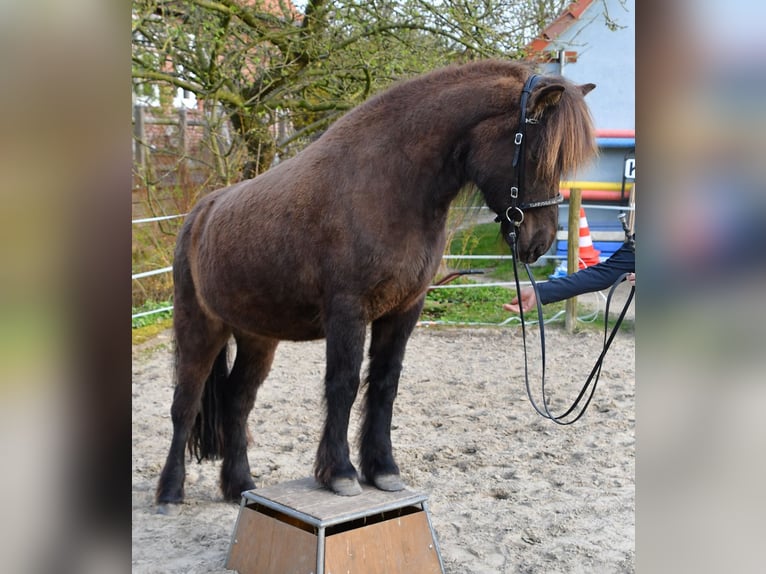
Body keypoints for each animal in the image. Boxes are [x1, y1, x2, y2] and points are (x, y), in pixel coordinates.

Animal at [156, 59, 596, 504]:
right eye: (537, 153)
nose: (539, 242)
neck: (388, 186)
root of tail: (199, 215)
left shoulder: (403, 310)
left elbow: (384, 384)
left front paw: (382, 468)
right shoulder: (348, 311)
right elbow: (344, 384)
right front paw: (340, 473)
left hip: (257, 337)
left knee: (236, 402)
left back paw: (240, 484)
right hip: (200, 327)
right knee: (184, 404)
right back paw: (170, 492)